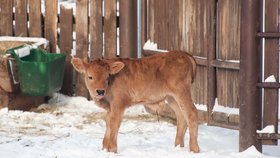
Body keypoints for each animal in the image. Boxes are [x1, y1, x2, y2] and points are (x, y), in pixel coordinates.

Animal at [71, 50, 200, 153]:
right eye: (90, 76)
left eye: (107, 77)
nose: (100, 91)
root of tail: (185, 54)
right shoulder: (111, 107)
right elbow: (108, 121)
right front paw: (105, 148)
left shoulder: (119, 103)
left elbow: (114, 122)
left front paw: (112, 148)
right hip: (171, 97)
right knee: (181, 115)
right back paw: (178, 146)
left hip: (181, 92)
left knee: (192, 113)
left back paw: (194, 149)